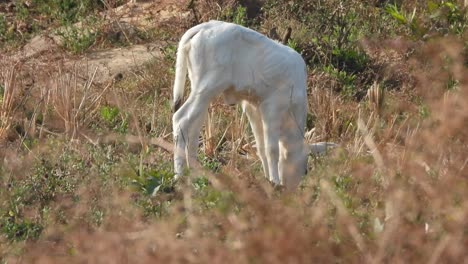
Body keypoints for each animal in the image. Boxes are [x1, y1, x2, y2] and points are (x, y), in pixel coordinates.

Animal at [172, 21, 326, 190]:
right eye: (305, 170)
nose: (291, 190)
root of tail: (202, 27)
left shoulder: (252, 107)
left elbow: (261, 147)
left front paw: (268, 179)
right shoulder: (272, 107)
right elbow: (272, 149)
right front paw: (275, 181)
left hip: (201, 91)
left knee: (194, 128)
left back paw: (195, 174)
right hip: (206, 88)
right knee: (180, 118)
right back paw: (179, 175)